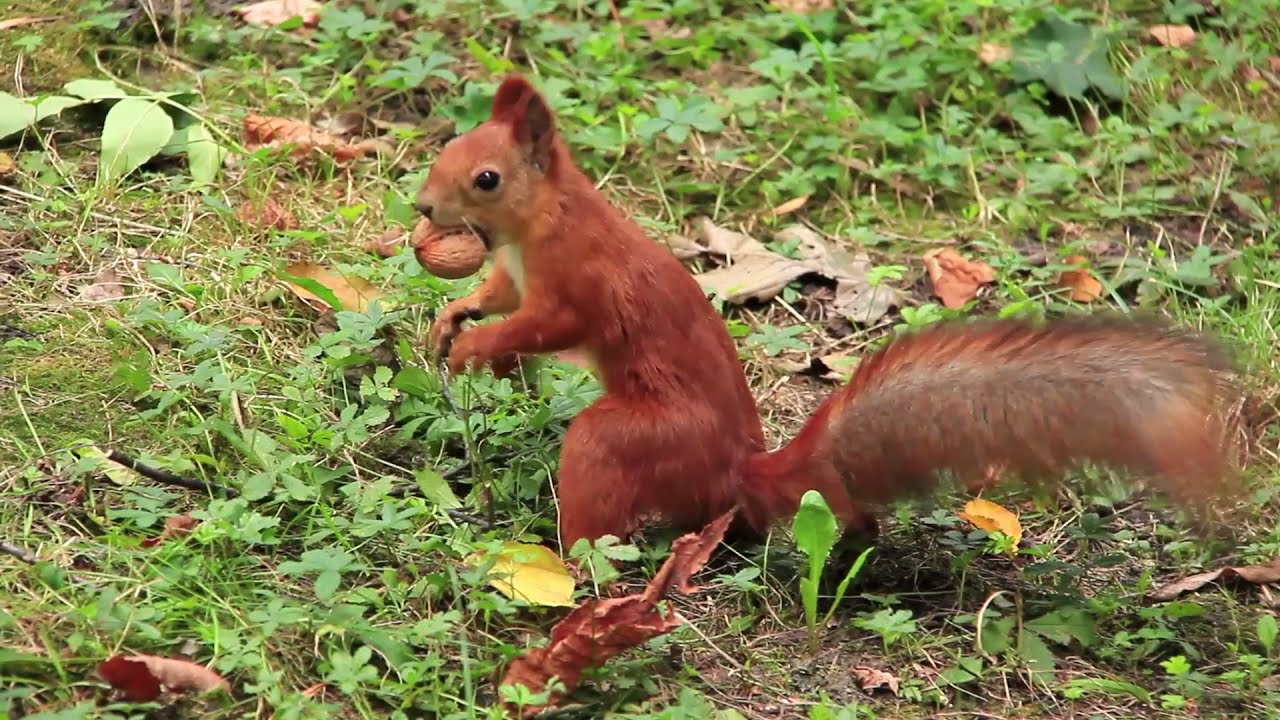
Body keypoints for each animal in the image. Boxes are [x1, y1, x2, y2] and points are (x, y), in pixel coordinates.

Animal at [414, 73, 1244, 545]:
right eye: (447, 147)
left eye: (486, 178)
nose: (422, 207)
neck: (541, 221)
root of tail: (739, 473)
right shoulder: (515, 273)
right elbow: (498, 297)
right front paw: (453, 319)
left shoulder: (579, 283)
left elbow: (546, 324)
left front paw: (477, 348)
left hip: (642, 439)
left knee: (601, 493)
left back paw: (561, 560)